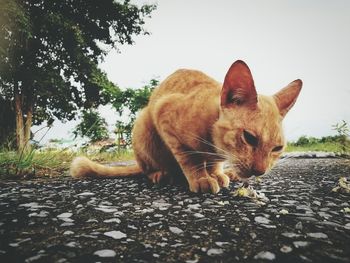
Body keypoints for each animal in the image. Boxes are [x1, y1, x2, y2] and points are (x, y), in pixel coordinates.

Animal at [70, 60, 300, 195]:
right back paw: (160, 174)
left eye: (277, 148)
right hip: (143, 124)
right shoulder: (164, 113)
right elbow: (191, 158)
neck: (213, 145)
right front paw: (201, 178)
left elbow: (214, 164)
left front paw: (216, 173)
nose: (260, 171)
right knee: (147, 169)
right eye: (249, 137)